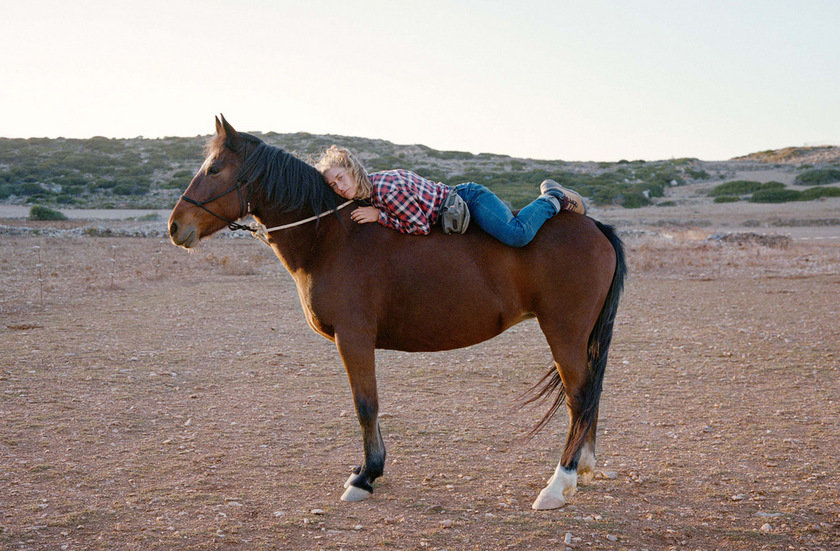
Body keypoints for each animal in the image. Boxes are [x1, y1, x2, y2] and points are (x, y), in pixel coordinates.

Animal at [167, 115, 628, 508]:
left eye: (214, 169)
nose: (175, 227)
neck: (332, 238)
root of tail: (595, 227)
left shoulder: (354, 338)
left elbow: (365, 405)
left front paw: (366, 476)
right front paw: (366, 469)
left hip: (564, 333)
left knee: (579, 397)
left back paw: (559, 483)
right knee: (589, 396)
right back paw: (583, 467)